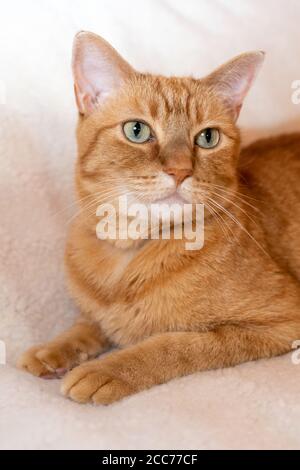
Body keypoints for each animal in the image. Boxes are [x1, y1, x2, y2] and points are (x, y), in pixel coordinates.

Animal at [18, 32, 300, 404]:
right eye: (137, 131)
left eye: (207, 137)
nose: (180, 171)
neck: (129, 252)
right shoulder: (96, 313)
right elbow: (88, 324)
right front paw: (53, 349)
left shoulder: (281, 322)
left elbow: (173, 344)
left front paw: (107, 369)